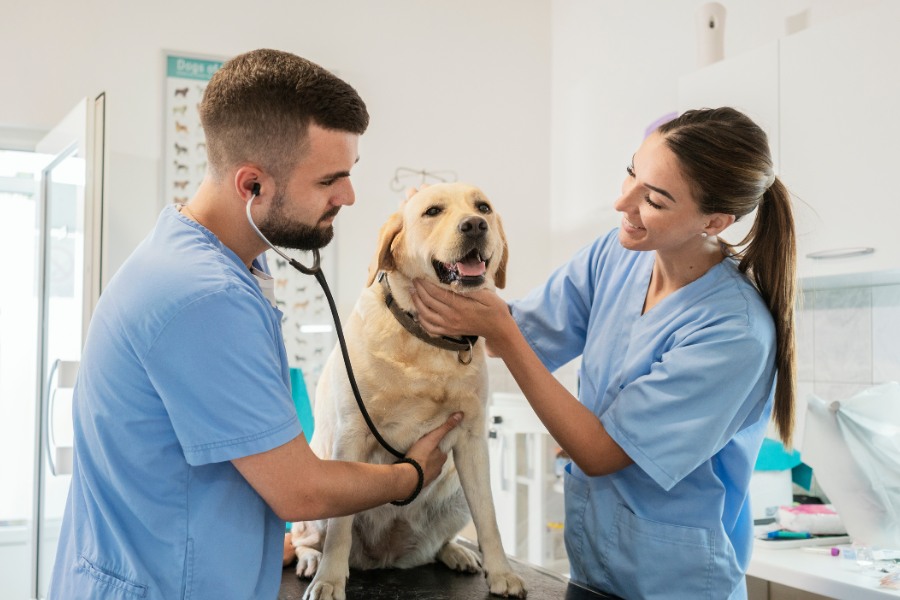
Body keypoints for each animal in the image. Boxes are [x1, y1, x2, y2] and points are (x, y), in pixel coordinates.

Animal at [292, 183, 524, 600]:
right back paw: (311, 560)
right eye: (432, 211)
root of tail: (381, 557)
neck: (427, 342)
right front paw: (330, 580)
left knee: (438, 543)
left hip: (455, 492)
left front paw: (502, 572)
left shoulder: (472, 440)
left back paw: (455, 552)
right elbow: (339, 530)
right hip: (314, 488)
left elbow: (489, 517)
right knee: (308, 536)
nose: (475, 225)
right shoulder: (351, 434)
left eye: (483, 207)